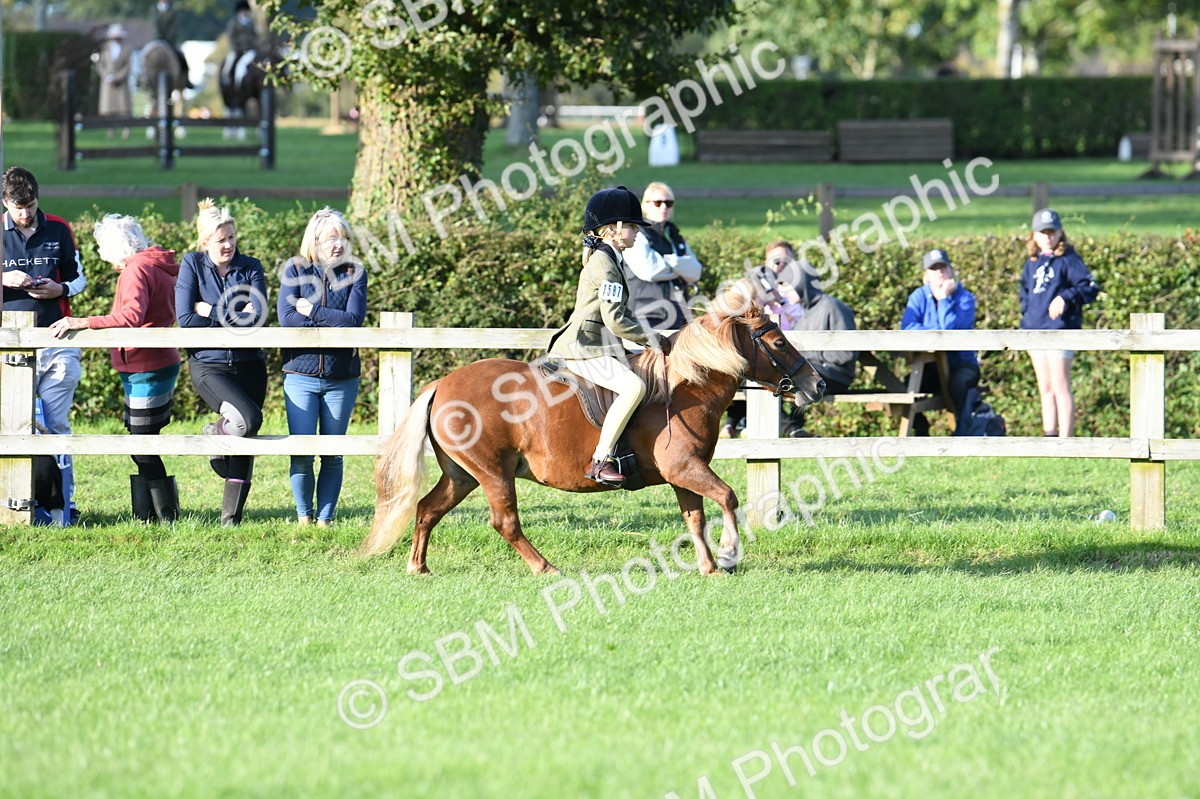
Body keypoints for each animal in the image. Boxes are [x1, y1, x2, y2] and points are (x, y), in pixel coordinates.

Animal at [360, 284, 827, 576]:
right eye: (778, 341)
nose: (818, 385)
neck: (687, 386)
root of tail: (442, 384)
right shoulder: (684, 467)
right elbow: (727, 498)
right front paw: (729, 556)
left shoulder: (684, 474)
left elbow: (695, 517)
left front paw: (709, 566)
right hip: (492, 473)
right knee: (504, 522)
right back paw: (545, 568)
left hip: (463, 474)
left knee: (427, 509)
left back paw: (418, 566)